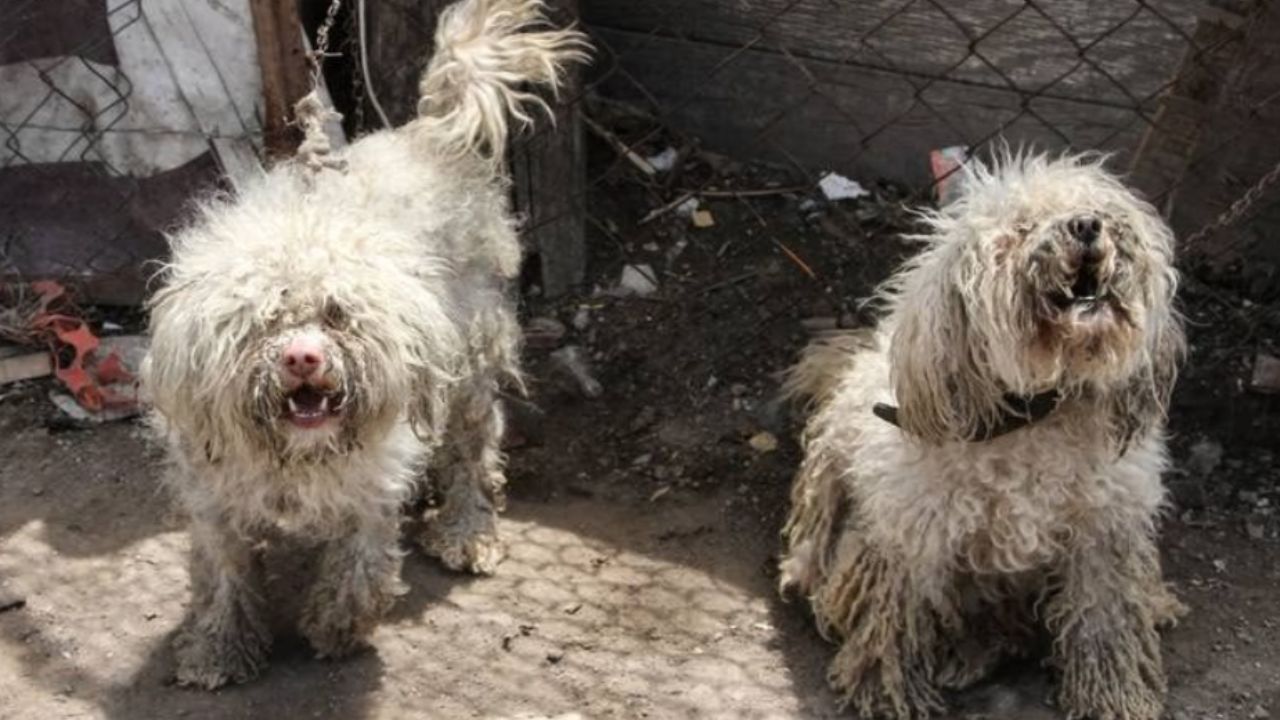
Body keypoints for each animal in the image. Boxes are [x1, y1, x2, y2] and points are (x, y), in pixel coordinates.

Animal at [142, 0, 583, 686]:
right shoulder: (214, 501)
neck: (294, 456)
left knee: (474, 451)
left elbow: (360, 569)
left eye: (337, 314)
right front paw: (219, 649)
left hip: (470, 362)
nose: (303, 357)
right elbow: (223, 578)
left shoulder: (369, 489)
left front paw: (334, 627)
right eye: (262, 322)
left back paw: (466, 531)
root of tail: (430, 133)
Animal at [778, 152, 1187, 717]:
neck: (1034, 413)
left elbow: (1103, 624)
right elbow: (893, 624)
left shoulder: (1103, 536)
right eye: (1019, 230)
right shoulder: (911, 539)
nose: (1086, 225)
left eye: (1098, 208)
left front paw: (1116, 697)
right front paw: (887, 691)